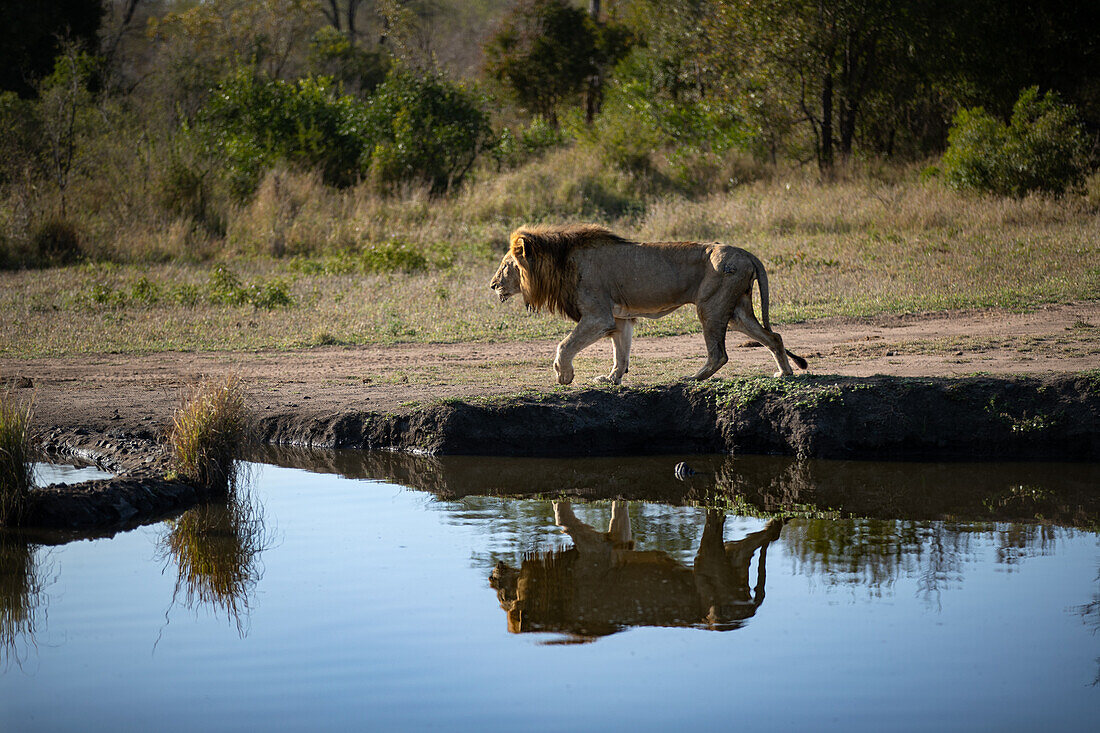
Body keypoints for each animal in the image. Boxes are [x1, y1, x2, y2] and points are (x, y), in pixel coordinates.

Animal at [490, 221, 809, 383]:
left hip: (711, 307)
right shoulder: (618, 318)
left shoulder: (597, 316)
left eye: (506, 266)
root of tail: (747, 253)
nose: (492, 285)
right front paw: (612, 378)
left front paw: (564, 374)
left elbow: (565, 344)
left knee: (719, 354)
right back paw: (785, 372)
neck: (559, 262)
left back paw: (692, 378)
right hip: (737, 311)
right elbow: (621, 352)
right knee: (774, 337)